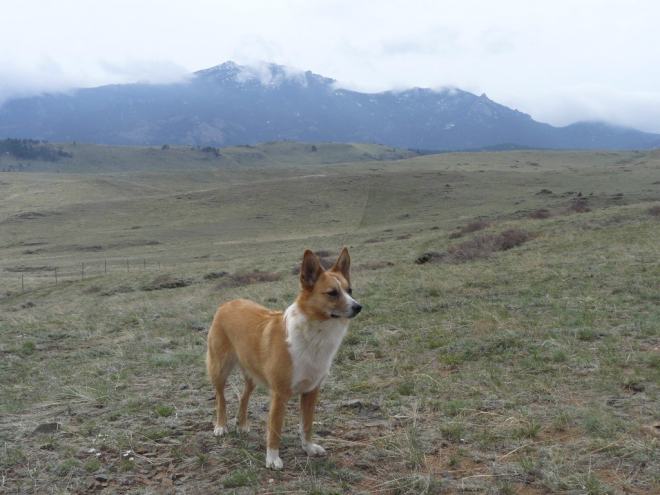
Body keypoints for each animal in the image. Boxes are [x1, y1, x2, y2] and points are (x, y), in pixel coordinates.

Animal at [206, 250, 360, 470]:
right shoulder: (280, 394)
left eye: (350, 290)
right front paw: (272, 458)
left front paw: (308, 448)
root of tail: (227, 303)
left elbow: (307, 424)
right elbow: (275, 428)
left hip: (252, 375)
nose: (358, 307)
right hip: (219, 369)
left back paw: (242, 425)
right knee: (221, 398)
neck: (314, 334)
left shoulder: (311, 391)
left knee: (243, 397)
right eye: (332, 293)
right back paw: (221, 426)